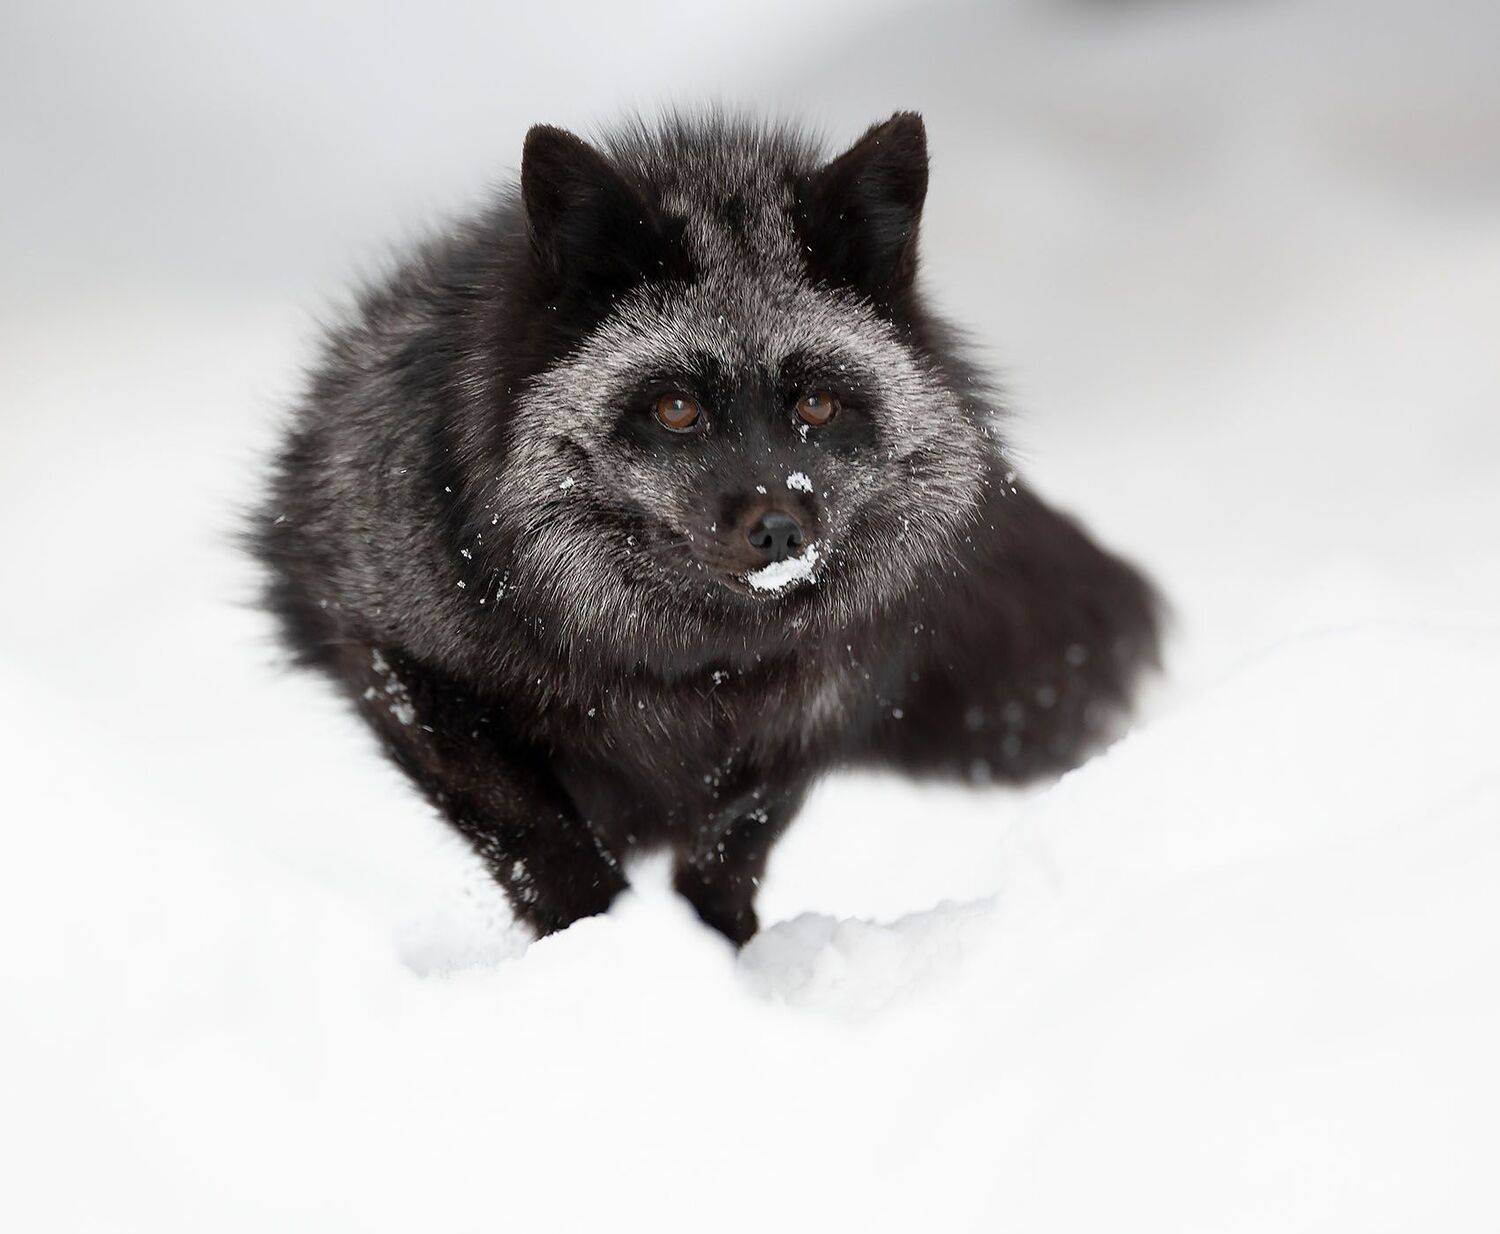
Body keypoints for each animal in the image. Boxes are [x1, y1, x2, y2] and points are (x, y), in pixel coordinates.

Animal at [253, 111, 1162, 945]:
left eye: (817, 402)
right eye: (676, 409)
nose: (779, 529)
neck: (694, 667)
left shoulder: (821, 699)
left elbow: (735, 841)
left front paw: (720, 957)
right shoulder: (401, 662)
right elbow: (541, 839)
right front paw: (604, 948)